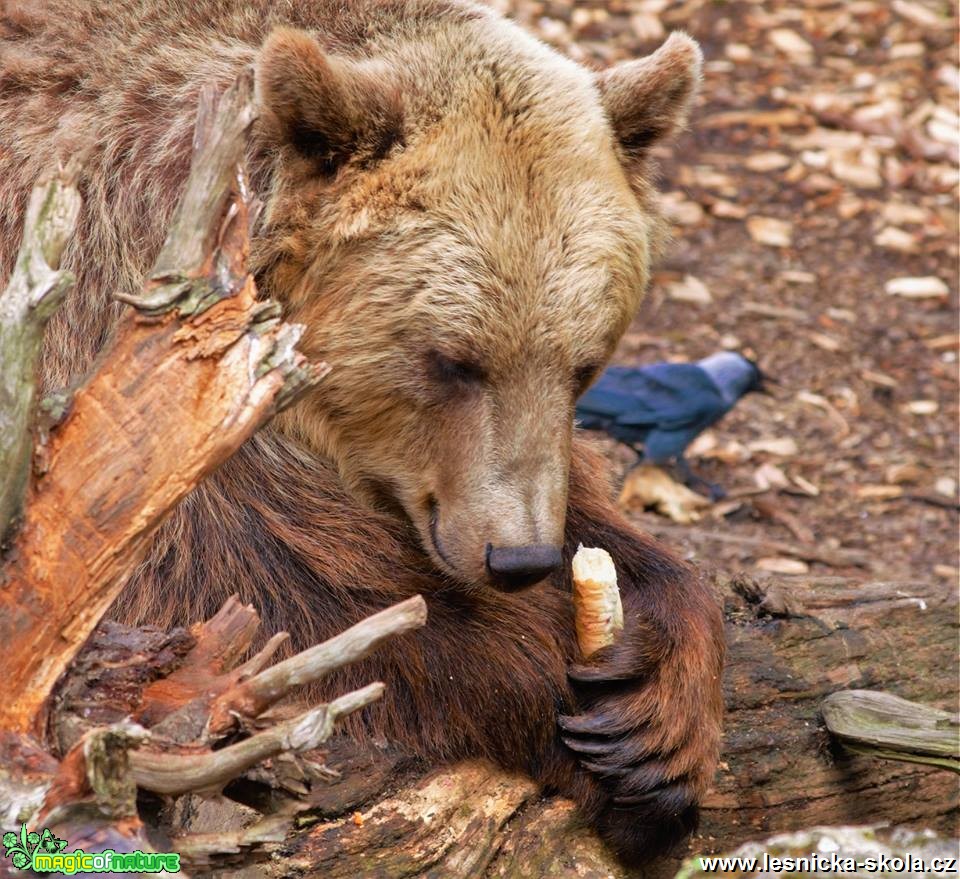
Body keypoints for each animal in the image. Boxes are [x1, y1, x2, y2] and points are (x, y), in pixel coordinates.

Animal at [0, 0, 720, 868]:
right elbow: (254, 595)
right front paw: (570, 697)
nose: (518, 559)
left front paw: (659, 714)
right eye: (453, 360)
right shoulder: (131, 361)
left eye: (585, 363)